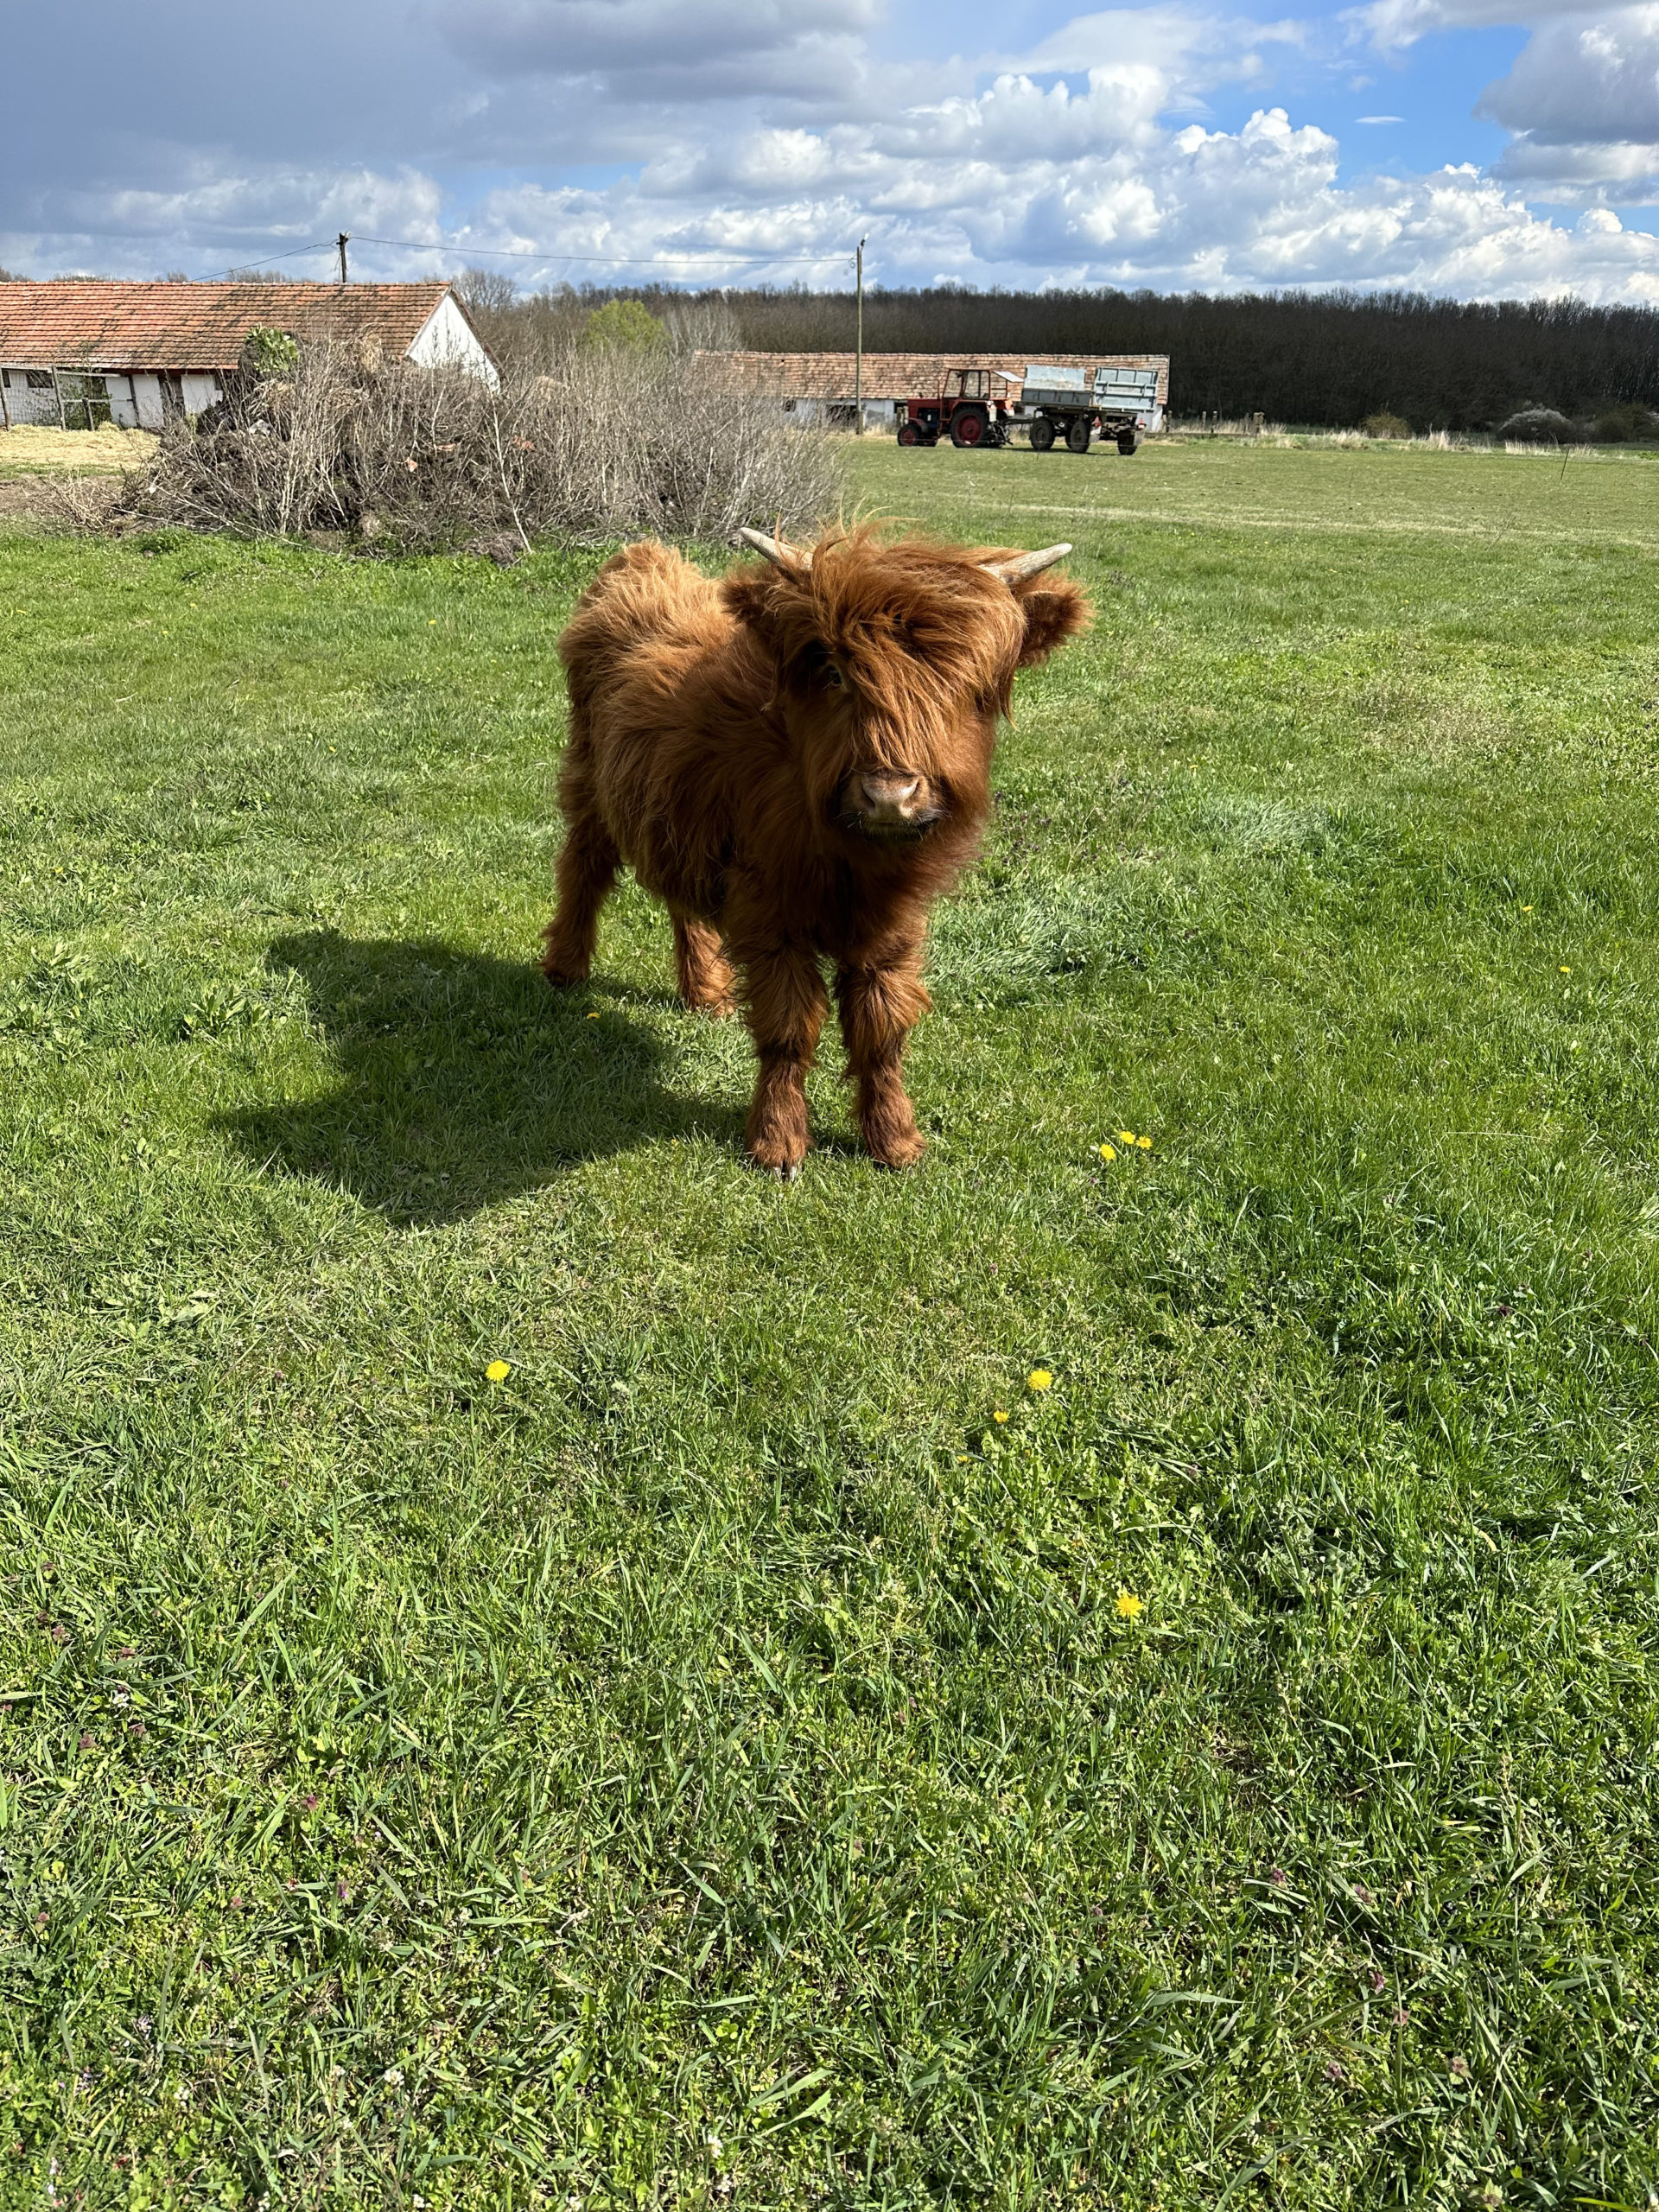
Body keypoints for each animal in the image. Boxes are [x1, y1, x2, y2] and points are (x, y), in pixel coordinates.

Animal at [541, 523, 1091, 1175]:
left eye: (970, 686)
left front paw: (895, 1141)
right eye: (833, 672)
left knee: (678, 897)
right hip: (589, 787)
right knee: (583, 871)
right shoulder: (771, 912)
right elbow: (789, 1028)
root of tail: (642, 559)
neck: (852, 858)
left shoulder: (894, 925)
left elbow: (881, 1030)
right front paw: (777, 1144)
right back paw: (565, 970)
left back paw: (705, 993)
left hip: (671, 809)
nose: (889, 796)